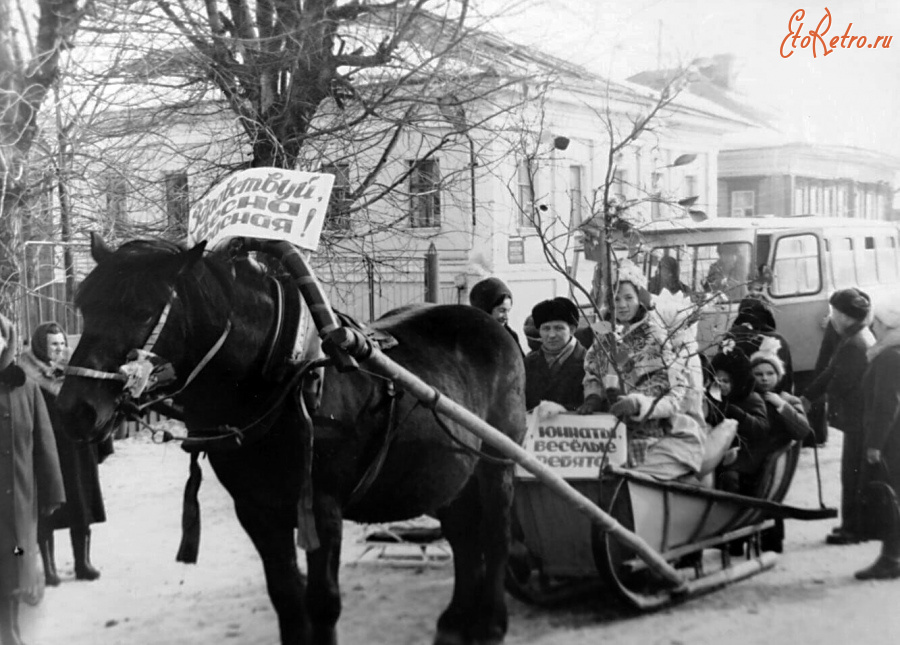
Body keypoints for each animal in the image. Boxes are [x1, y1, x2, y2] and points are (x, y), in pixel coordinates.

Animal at [56, 236, 528, 644]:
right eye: (83, 306)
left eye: (141, 310)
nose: (75, 410)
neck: (281, 373)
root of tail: (492, 325)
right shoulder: (256, 509)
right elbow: (285, 596)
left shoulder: (322, 508)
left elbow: (322, 602)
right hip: (451, 471)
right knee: (464, 534)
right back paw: (456, 619)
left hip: (497, 461)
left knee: (496, 532)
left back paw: (491, 622)